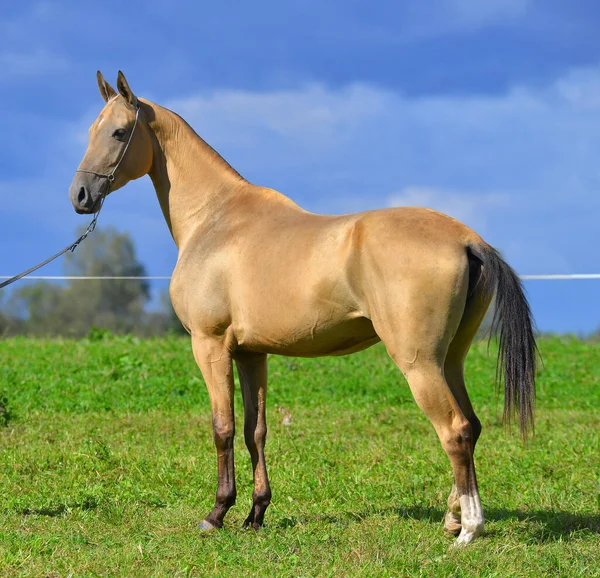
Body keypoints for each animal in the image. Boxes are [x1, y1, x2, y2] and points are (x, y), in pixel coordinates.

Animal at [68, 70, 536, 544]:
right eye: (90, 131)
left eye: (119, 132)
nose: (81, 195)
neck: (215, 218)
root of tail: (467, 239)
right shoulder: (252, 354)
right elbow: (255, 431)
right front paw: (255, 514)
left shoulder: (210, 346)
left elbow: (223, 428)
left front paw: (217, 513)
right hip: (450, 360)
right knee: (471, 425)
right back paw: (453, 516)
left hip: (419, 364)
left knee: (454, 431)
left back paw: (468, 530)